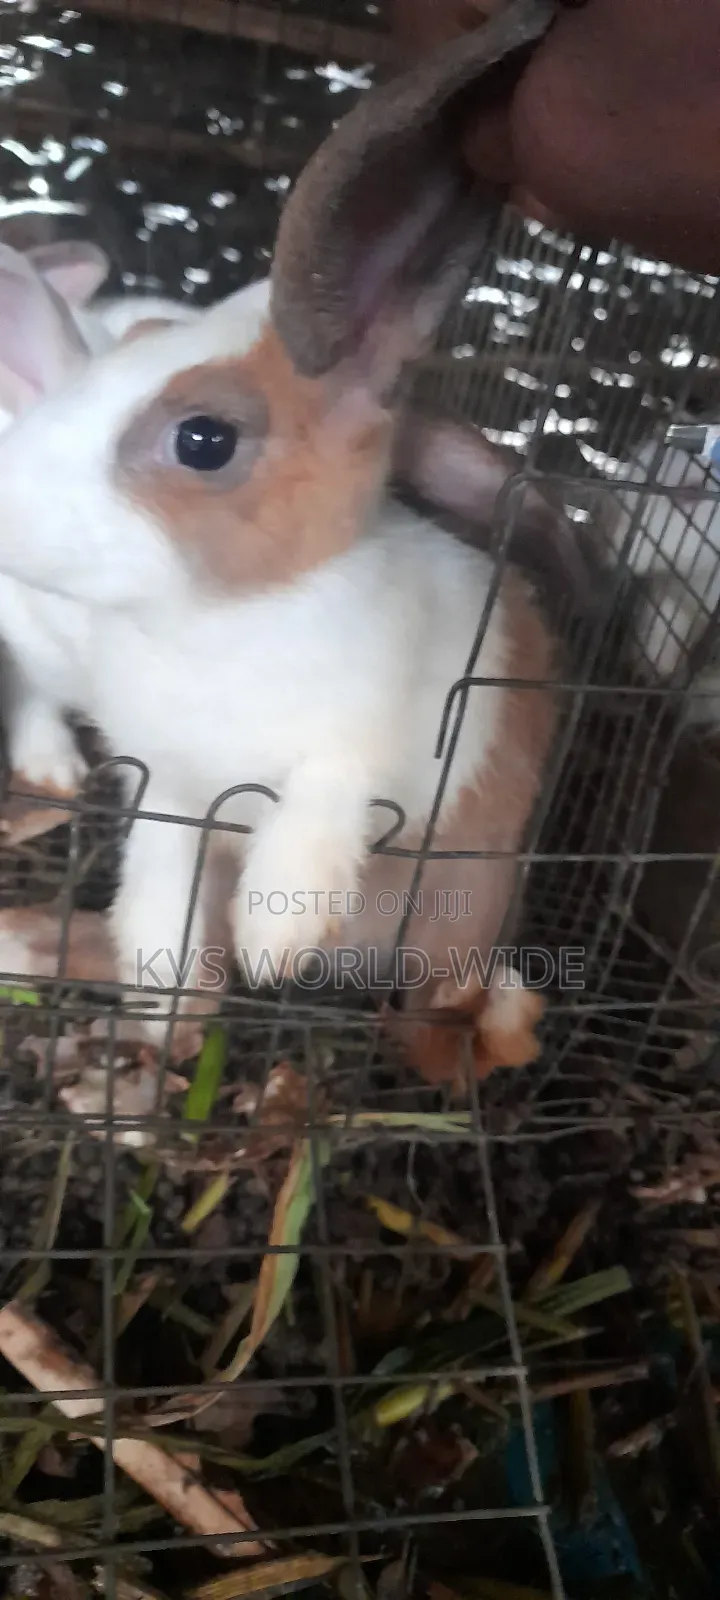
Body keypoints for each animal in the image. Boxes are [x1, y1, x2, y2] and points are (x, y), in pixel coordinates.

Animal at [0, 0, 565, 1086]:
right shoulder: (168, 789)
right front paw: (164, 977)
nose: (8, 509)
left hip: (460, 908)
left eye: (204, 440)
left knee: (443, 1017)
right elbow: (163, 881)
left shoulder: (367, 745)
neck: (218, 619)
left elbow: (317, 809)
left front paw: (280, 937)